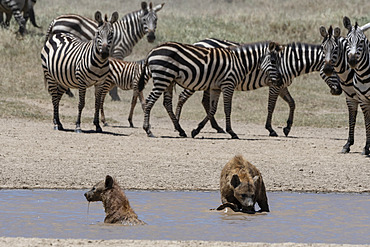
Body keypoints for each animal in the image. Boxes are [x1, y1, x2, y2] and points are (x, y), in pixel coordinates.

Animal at [137, 40, 282, 139]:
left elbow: (213, 109)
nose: (280, 81)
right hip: (162, 78)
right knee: (149, 101)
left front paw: (196, 130)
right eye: (274, 61)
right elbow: (227, 108)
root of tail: (152, 50)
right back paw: (148, 130)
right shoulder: (228, 84)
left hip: (168, 80)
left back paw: (180, 130)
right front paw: (232, 132)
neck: (239, 62)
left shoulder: (215, 88)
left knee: (167, 103)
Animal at [175, 37, 342, 138]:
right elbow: (271, 106)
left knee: (204, 102)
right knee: (182, 97)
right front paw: (271, 129)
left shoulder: (281, 84)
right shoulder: (275, 84)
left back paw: (216, 127)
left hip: (209, 81)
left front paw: (287, 127)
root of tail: (198, 42)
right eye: (333, 71)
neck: (290, 61)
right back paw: (178, 126)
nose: (339, 91)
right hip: (197, 79)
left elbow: (292, 103)